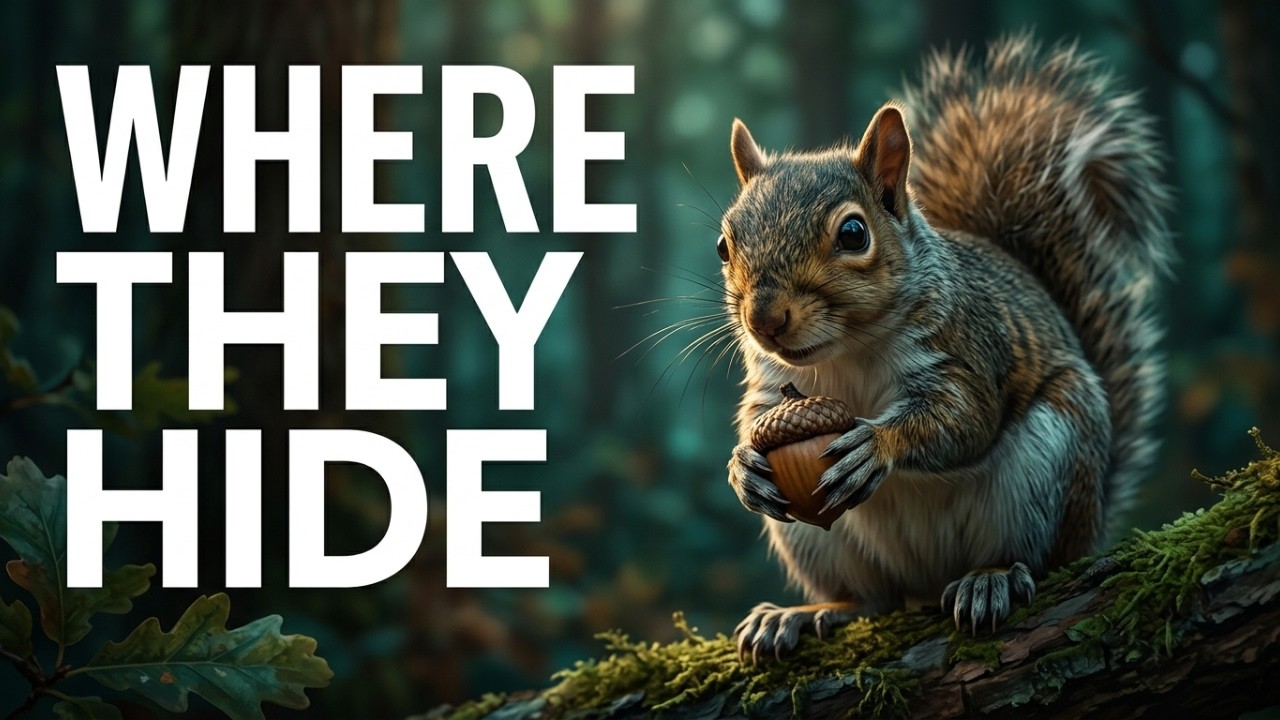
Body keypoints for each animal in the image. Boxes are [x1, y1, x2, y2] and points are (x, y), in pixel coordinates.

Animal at [718, 36, 1172, 659]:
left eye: (853, 233)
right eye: (724, 245)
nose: (764, 319)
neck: (845, 354)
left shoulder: (964, 347)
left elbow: (965, 418)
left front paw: (878, 444)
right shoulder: (774, 383)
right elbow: (757, 418)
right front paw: (743, 466)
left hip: (1049, 463)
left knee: (1033, 559)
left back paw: (991, 580)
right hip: (819, 544)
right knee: (871, 601)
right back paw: (803, 613)